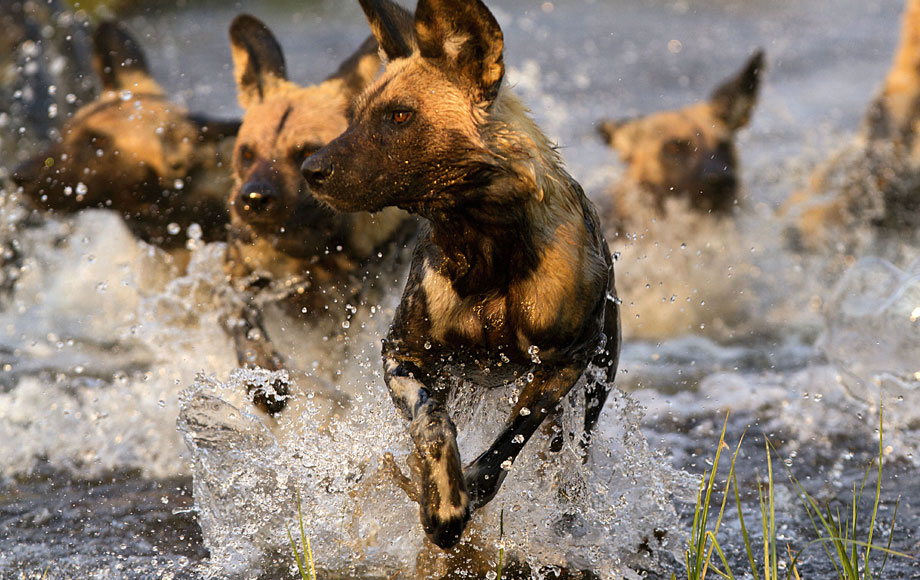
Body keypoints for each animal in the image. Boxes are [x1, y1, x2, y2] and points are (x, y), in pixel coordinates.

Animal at [223, 13, 414, 412]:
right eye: (246, 153)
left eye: (305, 152)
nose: (253, 198)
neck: (307, 249)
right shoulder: (235, 284)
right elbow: (247, 333)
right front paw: (265, 382)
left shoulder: (349, 316)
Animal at [300, 0, 620, 552]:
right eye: (355, 116)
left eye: (400, 116)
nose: (310, 170)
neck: (486, 251)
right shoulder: (405, 355)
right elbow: (431, 426)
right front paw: (443, 502)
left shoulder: (563, 365)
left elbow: (507, 447)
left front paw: (467, 491)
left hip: (585, 404)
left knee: (565, 468)